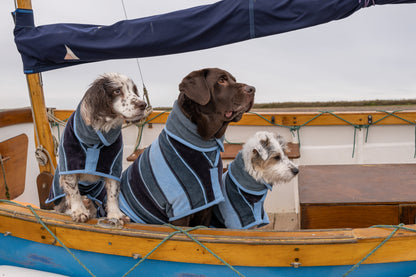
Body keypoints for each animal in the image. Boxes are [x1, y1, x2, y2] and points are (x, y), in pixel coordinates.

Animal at [47, 73, 147, 224]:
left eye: (134, 90)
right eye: (117, 91)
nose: (143, 105)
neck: (97, 136)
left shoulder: (112, 168)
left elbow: (112, 193)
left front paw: (115, 215)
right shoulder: (70, 165)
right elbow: (73, 191)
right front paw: (79, 211)